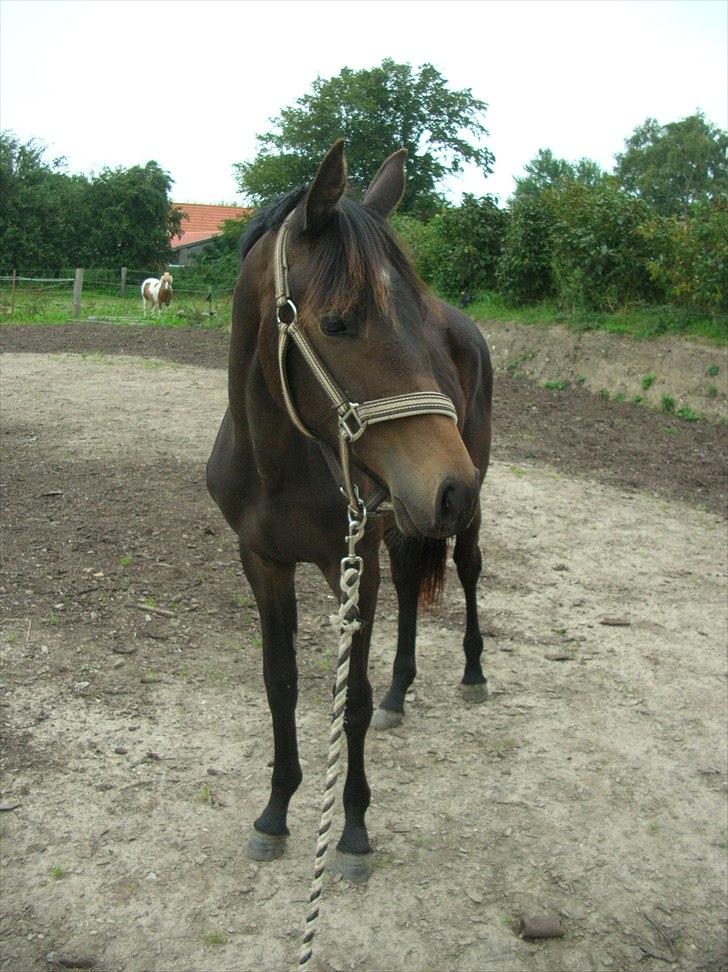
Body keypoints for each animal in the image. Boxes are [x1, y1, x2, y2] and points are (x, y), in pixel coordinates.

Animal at [205, 140, 494, 876]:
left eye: (419, 321)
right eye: (339, 322)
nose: (452, 486)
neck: (281, 466)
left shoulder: (351, 562)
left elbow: (351, 697)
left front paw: (354, 829)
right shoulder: (263, 561)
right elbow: (280, 684)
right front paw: (275, 812)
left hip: (455, 511)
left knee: (468, 570)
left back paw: (474, 672)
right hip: (406, 520)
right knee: (412, 581)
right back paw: (401, 691)